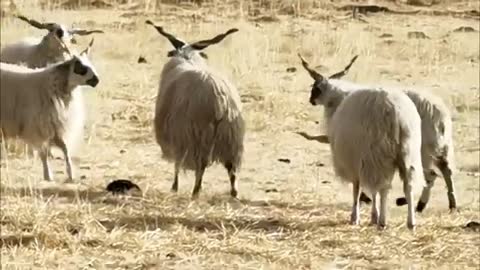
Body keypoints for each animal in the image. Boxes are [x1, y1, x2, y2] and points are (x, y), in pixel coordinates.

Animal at [145, 20, 244, 199]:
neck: (187, 58)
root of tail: (220, 99)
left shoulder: (178, 136)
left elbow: (177, 164)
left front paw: (174, 187)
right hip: (230, 137)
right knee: (231, 167)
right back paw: (234, 192)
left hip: (198, 135)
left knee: (201, 165)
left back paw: (196, 191)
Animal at [296, 55, 458, 213]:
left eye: (315, 88)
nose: (311, 100)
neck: (336, 98)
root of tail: (440, 114)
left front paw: (364, 197)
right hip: (440, 146)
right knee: (446, 170)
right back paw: (449, 203)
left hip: (422, 149)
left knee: (429, 175)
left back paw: (415, 203)